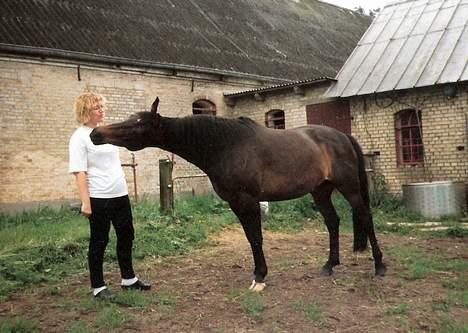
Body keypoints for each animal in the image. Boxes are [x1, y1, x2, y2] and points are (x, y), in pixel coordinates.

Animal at [90, 96, 384, 290]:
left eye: (138, 124)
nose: (95, 133)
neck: (226, 146)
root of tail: (343, 137)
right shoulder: (235, 203)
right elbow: (251, 238)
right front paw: (259, 274)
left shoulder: (248, 200)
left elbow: (256, 237)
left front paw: (260, 278)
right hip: (320, 191)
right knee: (333, 222)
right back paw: (329, 266)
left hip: (350, 189)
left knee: (366, 217)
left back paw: (380, 266)